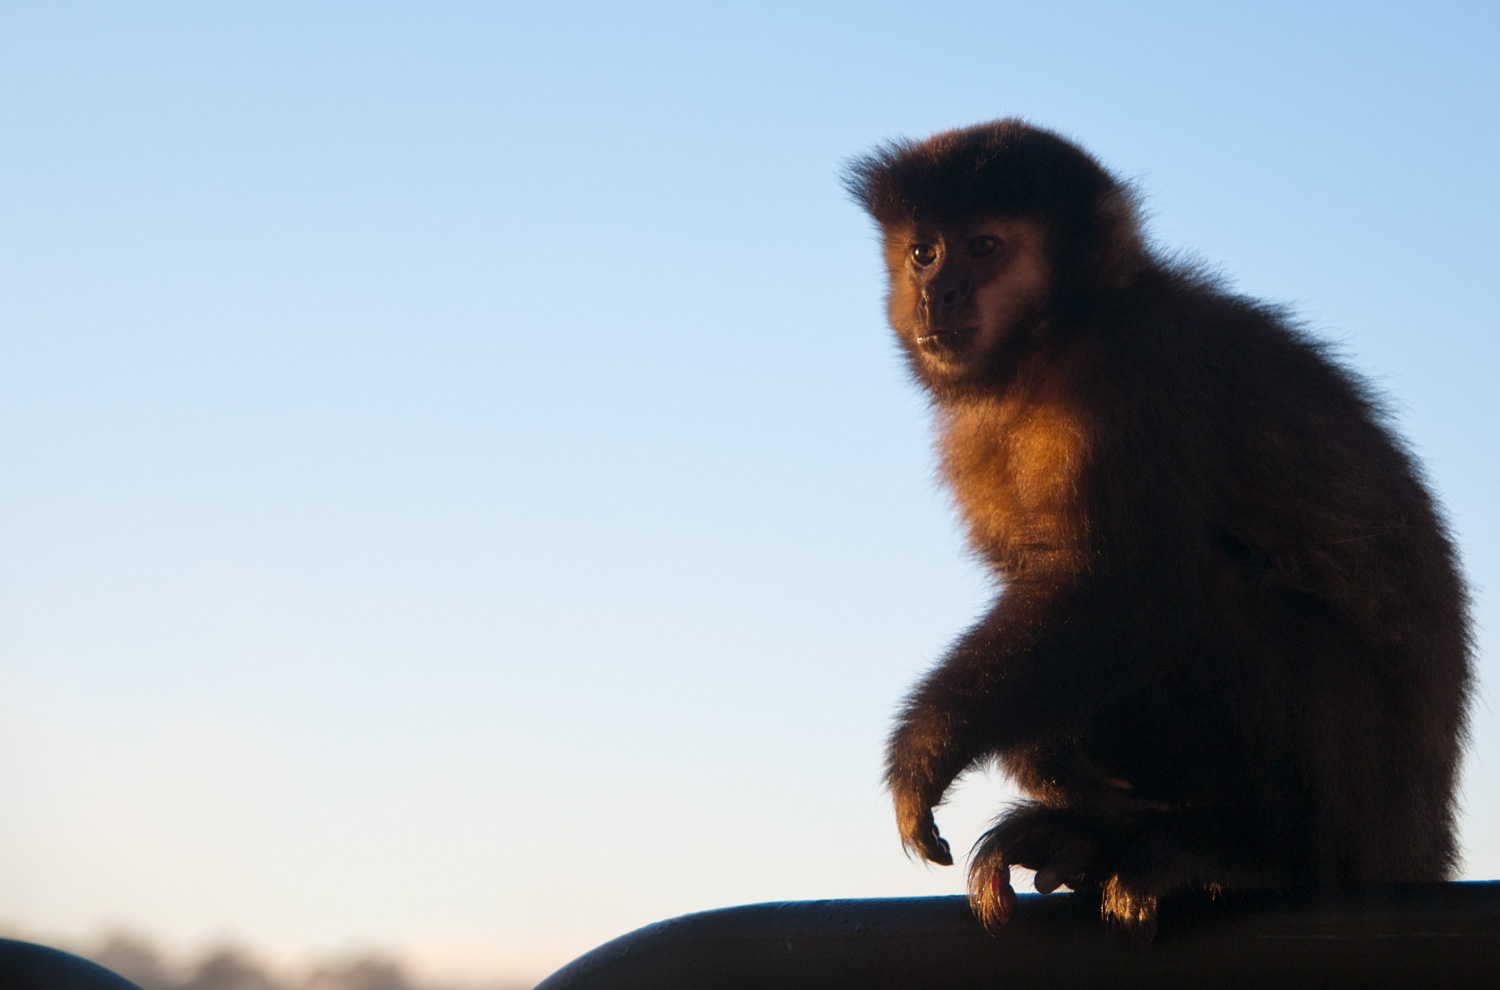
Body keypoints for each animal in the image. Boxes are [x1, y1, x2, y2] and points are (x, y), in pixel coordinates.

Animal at [843, 120, 1472, 942]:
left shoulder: (1133, 378)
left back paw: (1252, 855)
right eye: (925, 251)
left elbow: (1120, 591)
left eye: (982, 247)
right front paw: (1039, 759)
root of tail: (1422, 839)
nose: (936, 292)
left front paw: (929, 749)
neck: (1055, 347)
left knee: (1203, 593)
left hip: (1364, 803)